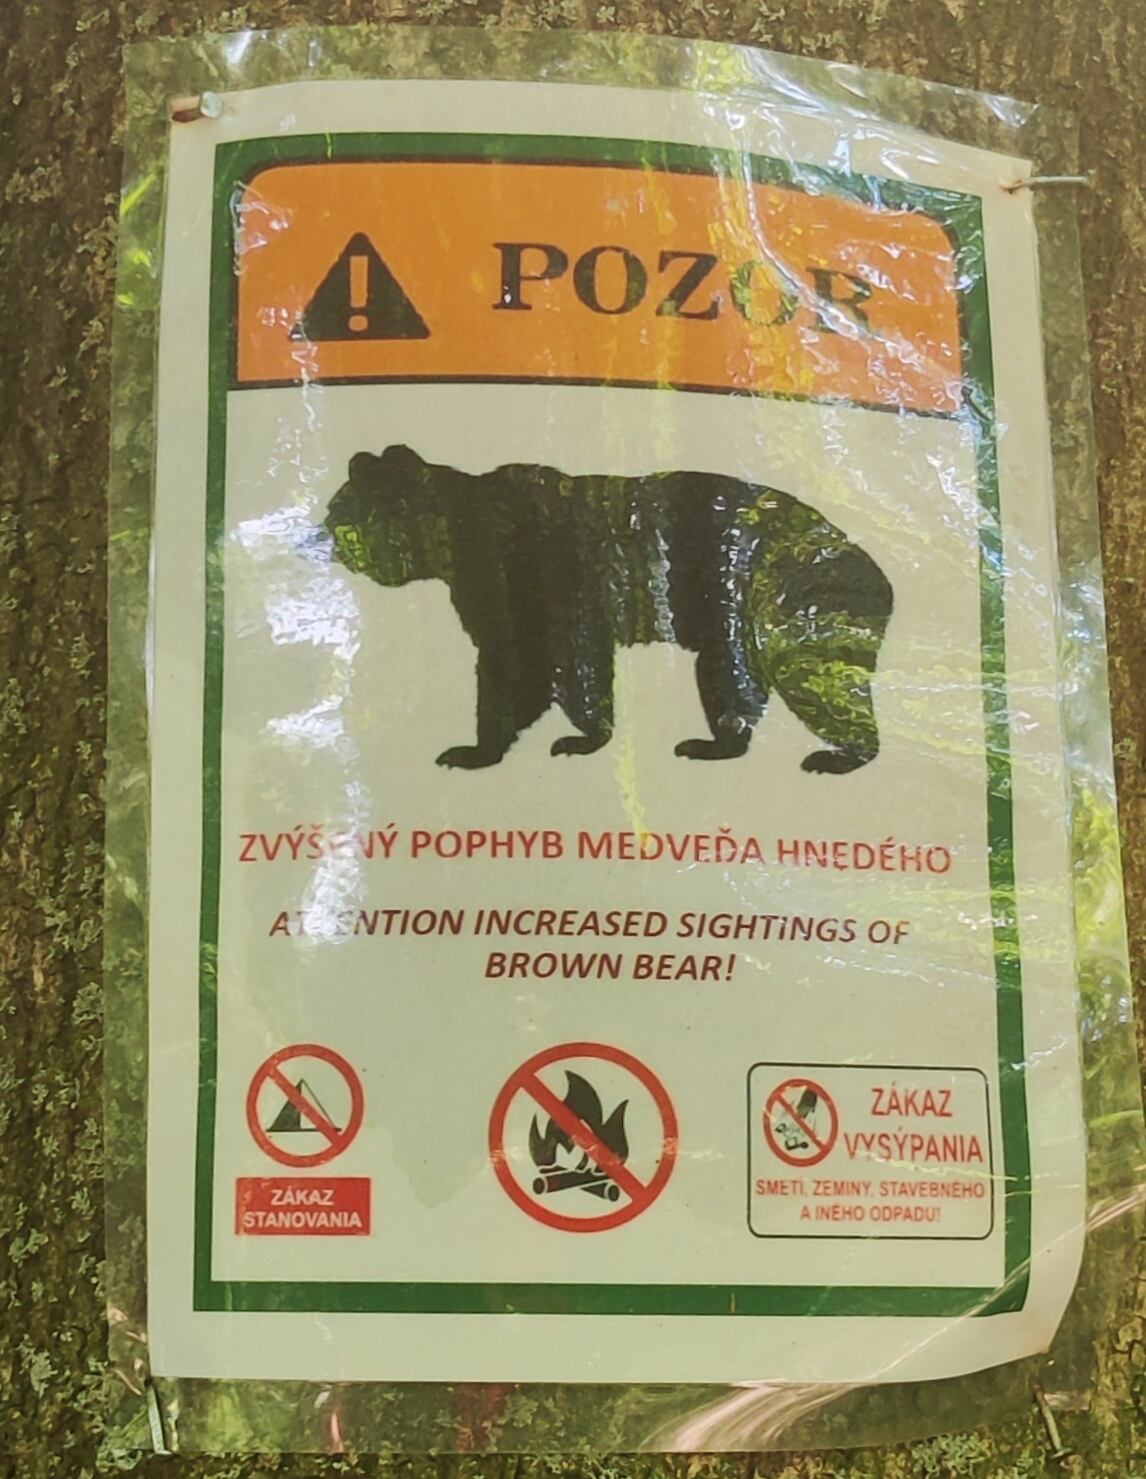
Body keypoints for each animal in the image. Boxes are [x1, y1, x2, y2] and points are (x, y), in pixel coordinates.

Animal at [323, 444, 893, 772]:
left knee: (819, 683)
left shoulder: (531, 586)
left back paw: (843, 756)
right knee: (728, 679)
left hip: (791, 607)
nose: (322, 535)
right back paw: (719, 743)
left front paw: (490, 748)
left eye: (337, 510)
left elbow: (531, 669)